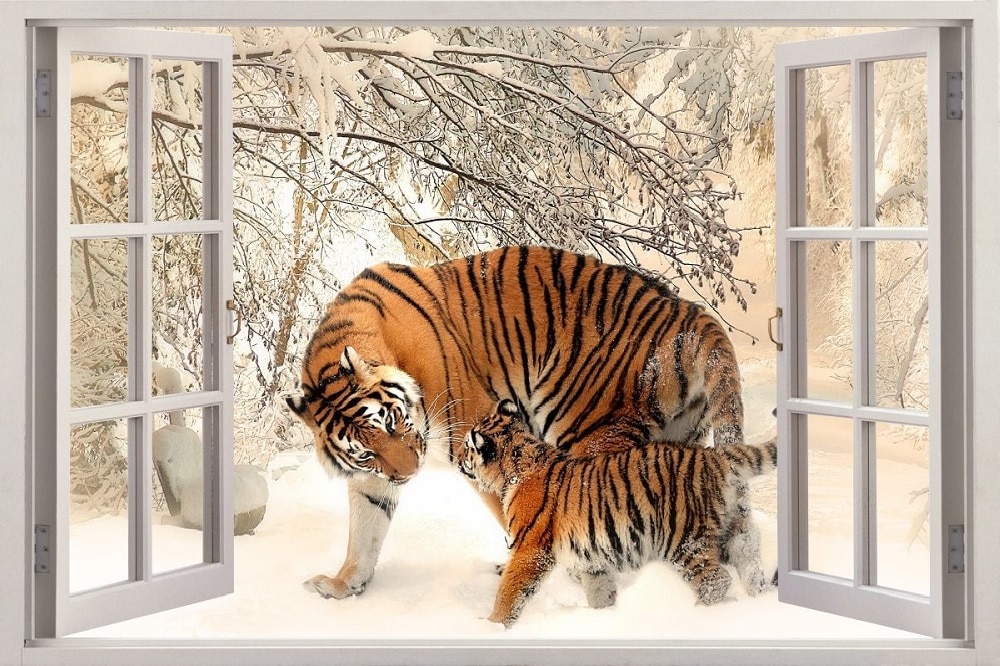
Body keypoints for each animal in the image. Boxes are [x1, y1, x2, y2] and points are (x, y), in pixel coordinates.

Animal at [285, 245, 758, 601]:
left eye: (393, 422)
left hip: (589, 430)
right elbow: (364, 531)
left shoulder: (476, 438)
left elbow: (516, 513)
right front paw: (343, 585)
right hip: (681, 443)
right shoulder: (373, 478)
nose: (409, 473)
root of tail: (687, 311)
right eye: (366, 451)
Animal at [458, 400, 778, 627]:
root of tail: (713, 455)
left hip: (684, 539)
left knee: (716, 580)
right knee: (748, 561)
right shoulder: (589, 557)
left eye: (466, 447)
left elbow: (509, 592)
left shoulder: (530, 549)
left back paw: (700, 614)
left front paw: (491, 627)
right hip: (734, 529)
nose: (458, 459)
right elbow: (599, 589)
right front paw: (603, 617)